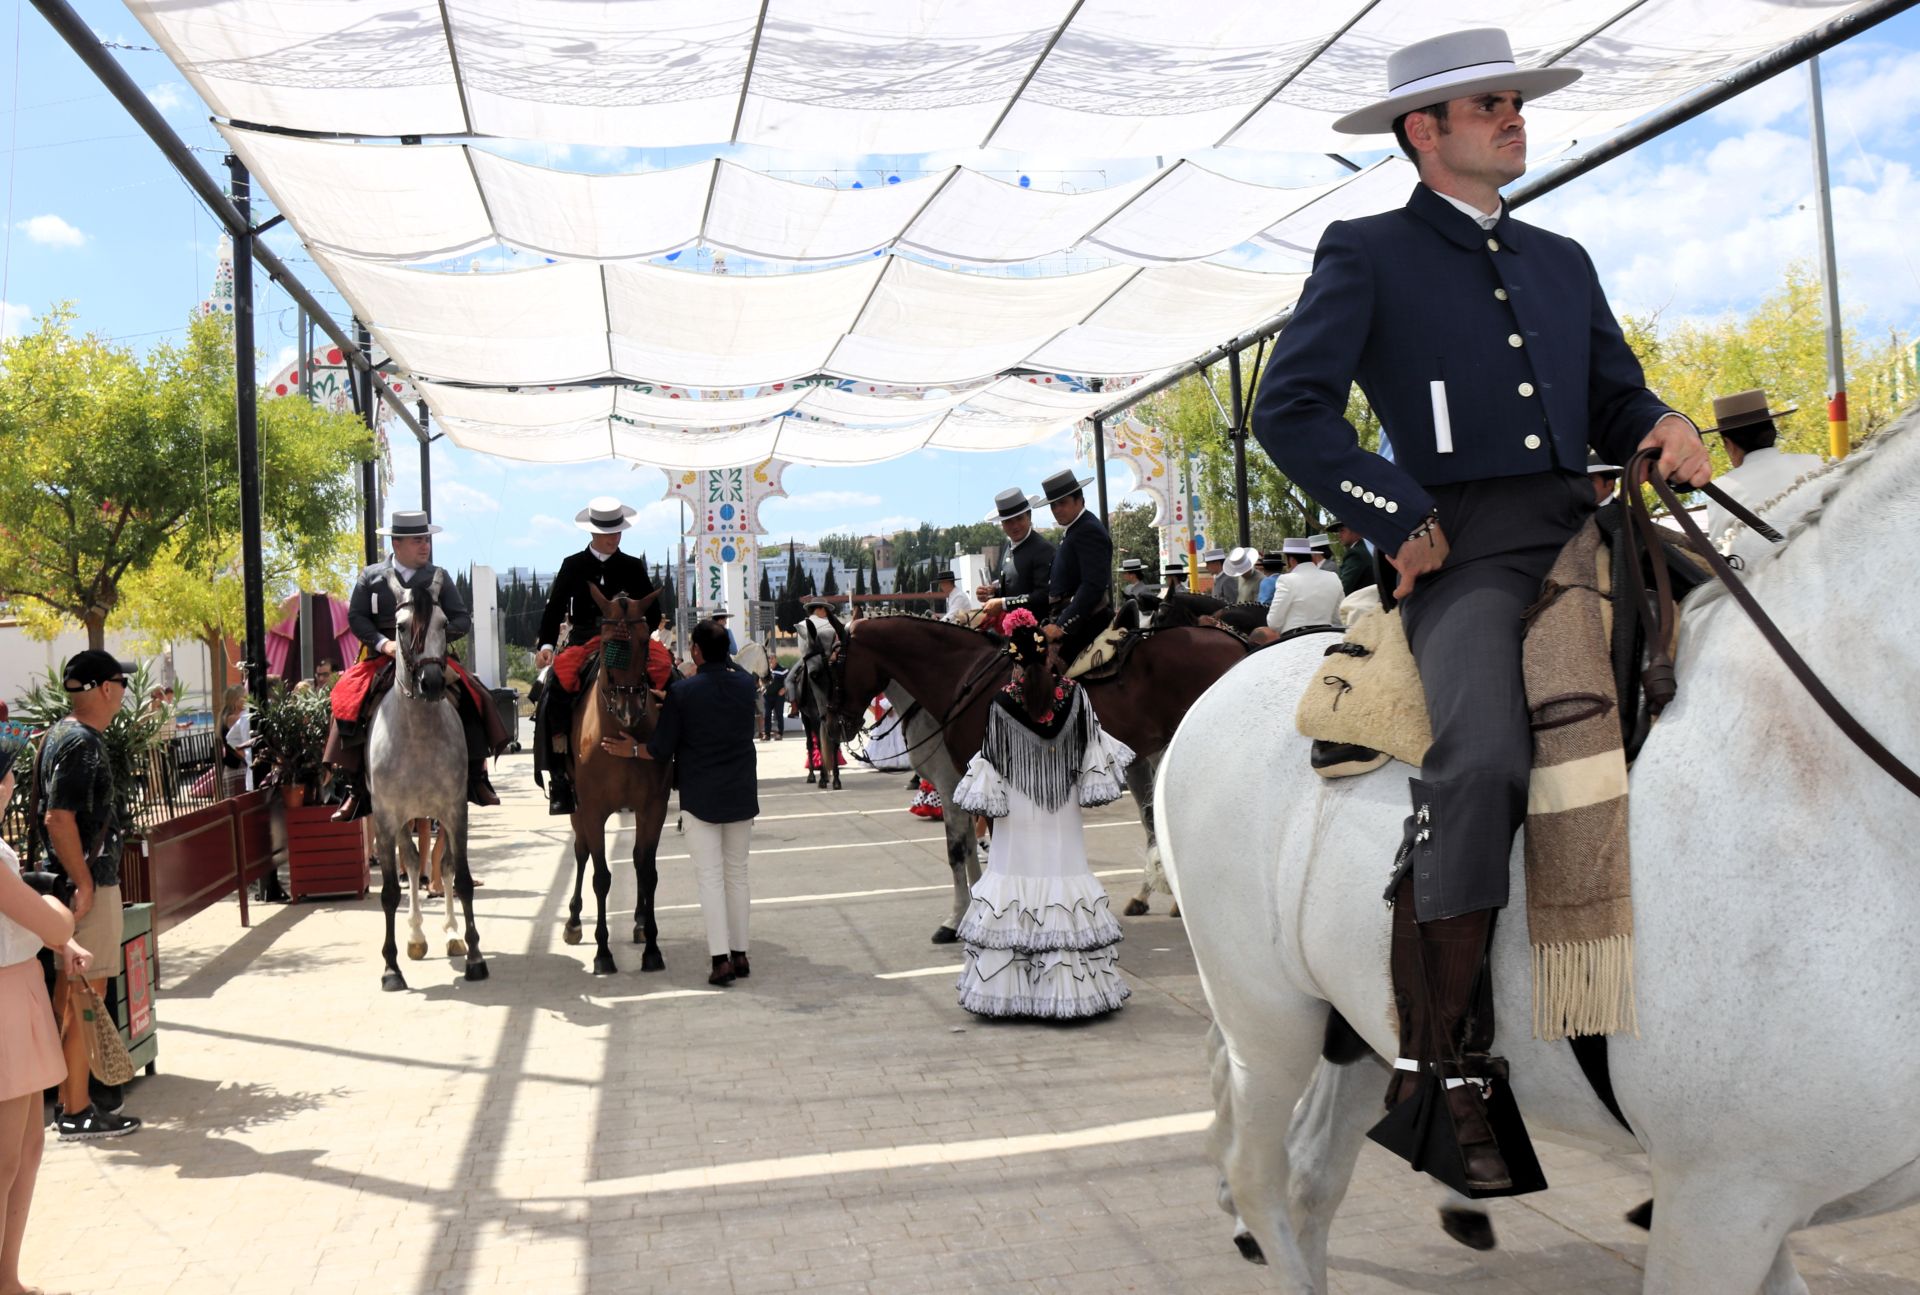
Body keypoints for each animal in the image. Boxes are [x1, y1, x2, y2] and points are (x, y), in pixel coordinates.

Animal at [364, 568, 483, 983]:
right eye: (400, 627)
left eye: (445, 624)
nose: (431, 682)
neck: (416, 733)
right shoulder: (386, 818)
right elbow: (389, 892)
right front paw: (390, 967)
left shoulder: (455, 810)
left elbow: (460, 879)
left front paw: (475, 956)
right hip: (402, 820)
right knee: (414, 865)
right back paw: (415, 937)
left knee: (440, 868)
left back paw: (451, 935)